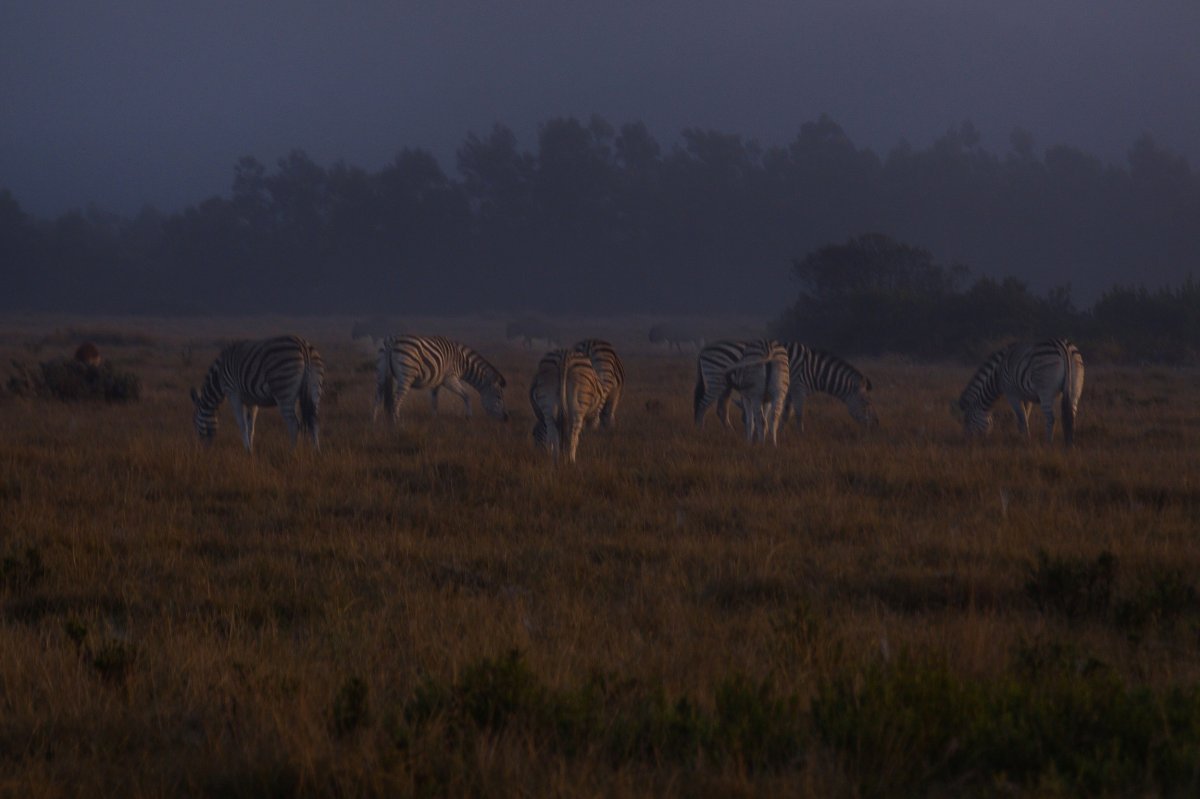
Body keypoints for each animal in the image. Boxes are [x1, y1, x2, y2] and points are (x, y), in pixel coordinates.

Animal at [190, 334, 324, 452]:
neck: (219, 376)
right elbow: (251, 427)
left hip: (283, 389)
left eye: (195, 423)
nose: (203, 449)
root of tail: (303, 345)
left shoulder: (232, 393)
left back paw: (293, 453)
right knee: (314, 422)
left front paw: (247, 450)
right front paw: (251, 450)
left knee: (294, 425)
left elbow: (242, 425)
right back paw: (315, 452)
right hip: (313, 390)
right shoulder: (251, 400)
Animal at [375, 335, 509, 424]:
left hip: (381, 372)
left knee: (378, 398)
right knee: (396, 399)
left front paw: (434, 419)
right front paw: (468, 416)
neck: (463, 362)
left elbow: (434, 401)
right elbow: (466, 395)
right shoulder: (450, 378)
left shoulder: (436, 382)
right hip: (406, 375)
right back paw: (396, 423)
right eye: (499, 397)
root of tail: (391, 342)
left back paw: (374, 422)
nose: (506, 418)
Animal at [954, 338, 1085, 446]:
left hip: (1045, 391)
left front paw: (1026, 441)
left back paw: (1049, 444)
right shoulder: (1027, 397)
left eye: (968, 421)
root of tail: (1063, 346)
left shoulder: (1012, 394)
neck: (997, 376)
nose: (968, 442)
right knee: (1071, 415)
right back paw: (1069, 443)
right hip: (1074, 388)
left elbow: (1022, 419)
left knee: (1051, 418)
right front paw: (1023, 438)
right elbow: (1025, 417)